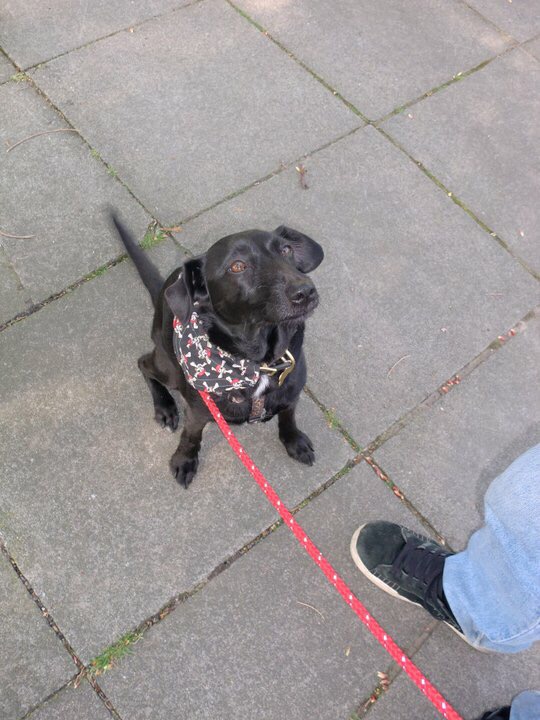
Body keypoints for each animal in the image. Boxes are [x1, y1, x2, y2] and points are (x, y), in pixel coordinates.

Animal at [111, 213, 324, 488]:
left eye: (286, 250)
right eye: (237, 266)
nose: (305, 291)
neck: (259, 363)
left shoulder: (292, 393)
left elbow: (288, 416)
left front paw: (294, 440)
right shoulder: (198, 411)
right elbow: (191, 436)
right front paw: (184, 460)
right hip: (170, 368)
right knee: (143, 363)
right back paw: (165, 407)